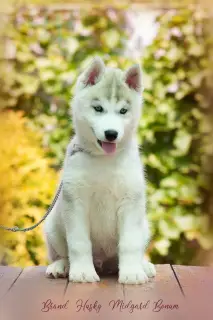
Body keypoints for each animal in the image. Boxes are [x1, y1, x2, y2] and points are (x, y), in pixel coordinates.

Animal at [43, 56, 156, 284]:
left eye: (123, 111)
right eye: (98, 108)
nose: (111, 134)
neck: (104, 159)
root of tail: (104, 263)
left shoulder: (131, 202)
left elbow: (130, 244)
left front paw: (132, 273)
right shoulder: (75, 202)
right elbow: (78, 243)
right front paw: (82, 272)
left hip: (144, 225)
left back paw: (143, 265)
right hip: (53, 225)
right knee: (62, 253)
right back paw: (61, 266)